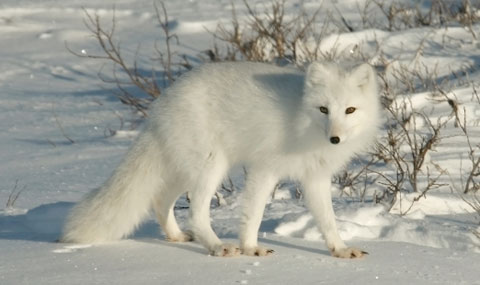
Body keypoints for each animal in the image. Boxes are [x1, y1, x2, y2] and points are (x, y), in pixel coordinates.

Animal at [61, 61, 382, 258]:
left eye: (350, 110)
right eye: (324, 109)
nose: (335, 139)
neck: (303, 123)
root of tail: (161, 104)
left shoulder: (315, 177)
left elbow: (328, 221)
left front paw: (340, 250)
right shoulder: (265, 169)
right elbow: (253, 215)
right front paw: (251, 248)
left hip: (185, 169)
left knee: (160, 201)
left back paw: (176, 236)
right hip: (211, 166)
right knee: (196, 214)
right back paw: (218, 247)